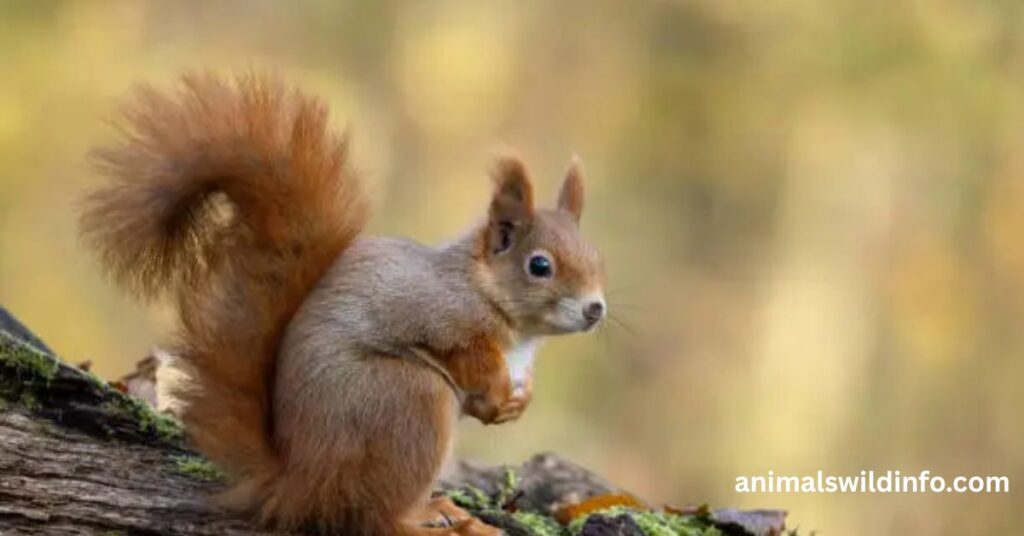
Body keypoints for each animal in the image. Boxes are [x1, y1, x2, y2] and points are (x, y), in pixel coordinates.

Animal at [80, 72, 606, 536]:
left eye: (597, 257)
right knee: (373, 520)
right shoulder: (435, 312)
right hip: (408, 402)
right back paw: (435, 525)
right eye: (539, 265)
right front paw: (498, 391)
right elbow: (463, 352)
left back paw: (442, 510)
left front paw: (517, 402)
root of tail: (300, 485)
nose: (595, 309)